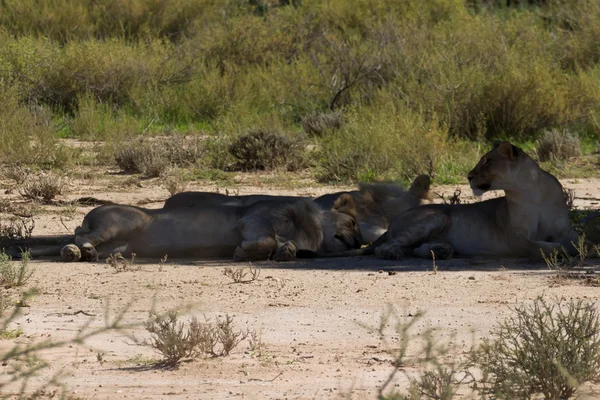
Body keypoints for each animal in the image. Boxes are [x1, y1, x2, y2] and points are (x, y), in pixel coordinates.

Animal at [342, 140, 580, 260]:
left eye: (487, 161)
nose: (469, 176)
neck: (533, 192)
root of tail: (393, 221)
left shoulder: (565, 229)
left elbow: (577, 240)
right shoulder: (518, 239)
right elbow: (546, 247)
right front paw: (563, 249)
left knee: (416, 249)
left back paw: (442, 251)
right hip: (435, 217)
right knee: (386, 247)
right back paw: (395, 253)